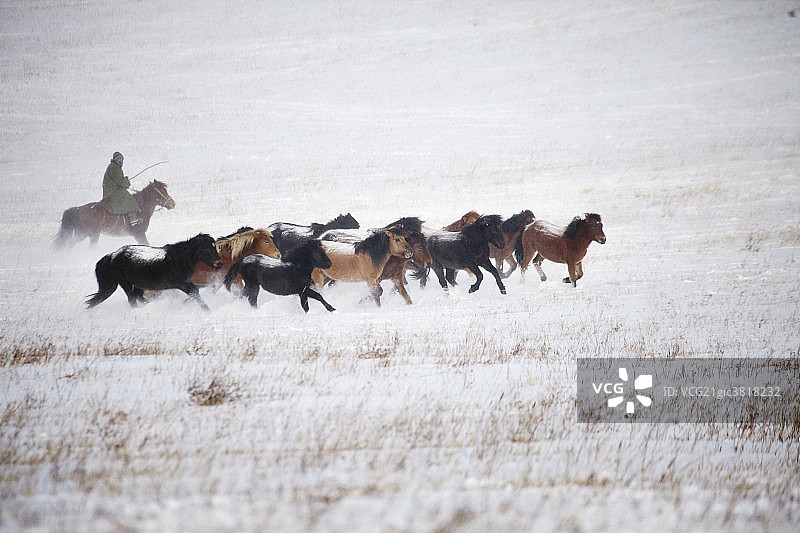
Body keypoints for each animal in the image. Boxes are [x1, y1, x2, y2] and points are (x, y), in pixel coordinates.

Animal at [85, 233, 223, 311]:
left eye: (214, 247)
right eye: (206, 249)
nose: (219, 264)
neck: (179, 259)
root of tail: (113, 255)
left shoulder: (186, 283)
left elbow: (196, 292)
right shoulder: (181, 284)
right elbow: (195, 293)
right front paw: (206, 309)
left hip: (136, 285)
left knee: (139, 298)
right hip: (126, 284)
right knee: (132, 300)